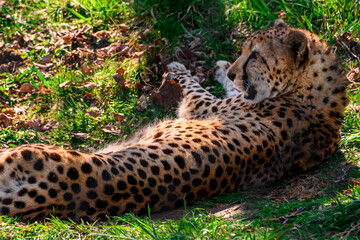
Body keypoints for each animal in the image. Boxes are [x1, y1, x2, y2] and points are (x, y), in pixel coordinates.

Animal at [0, 20, 348, 221]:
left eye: (256, 56)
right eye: (245, 50)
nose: (235, 71)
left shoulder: (201, 106)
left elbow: (194, 87)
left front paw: (189, 68)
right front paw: (222, 68)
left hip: (21, 152)